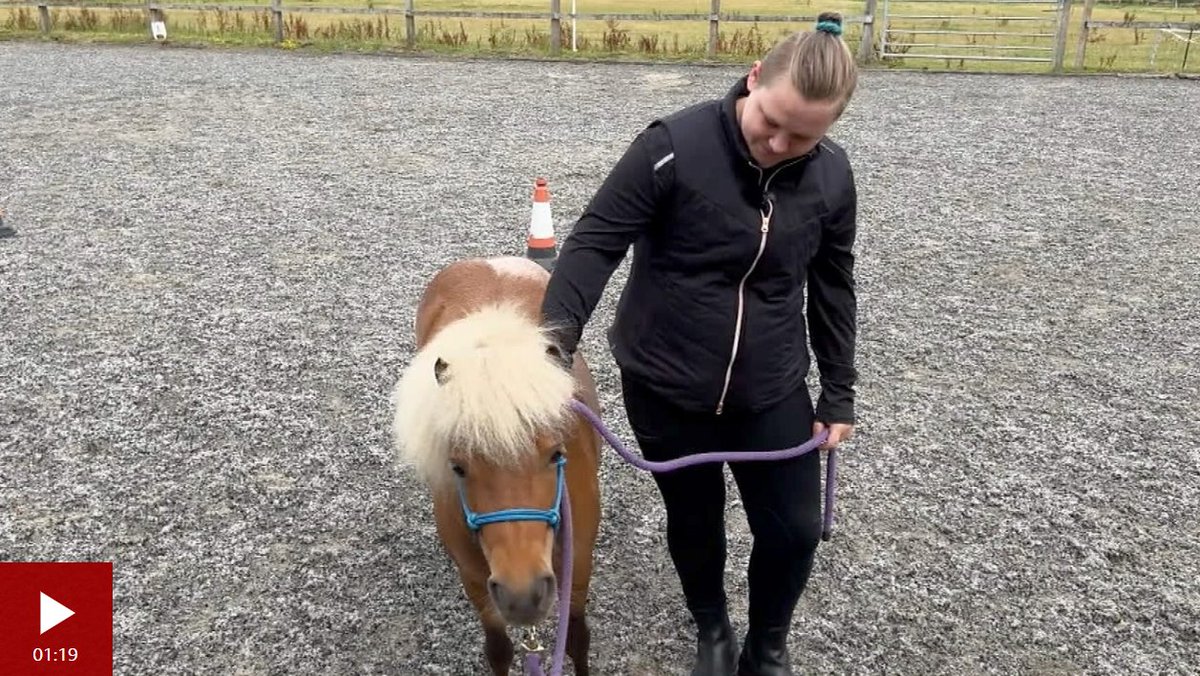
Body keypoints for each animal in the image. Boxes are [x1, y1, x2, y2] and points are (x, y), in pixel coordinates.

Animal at [390, 255, 602, 675]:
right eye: (457, 468)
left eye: (556, 454)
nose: (523, 594)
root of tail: (489, 262)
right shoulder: (476, 581)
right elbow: (498, 648)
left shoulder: (579, 565)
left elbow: (576, 637)